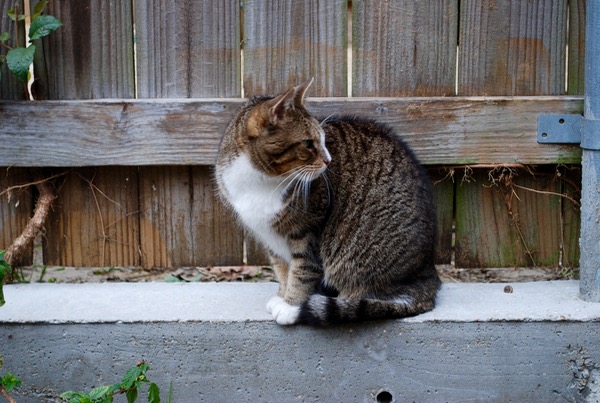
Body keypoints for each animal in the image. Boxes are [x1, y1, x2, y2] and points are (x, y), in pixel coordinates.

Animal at [216, 79, 440, 328]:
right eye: (308, 143)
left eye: (323, 141)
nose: (329, 160)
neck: (262, 180)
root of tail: (428, 273)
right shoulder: (270, 237)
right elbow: (282, 268)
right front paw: (283, 296)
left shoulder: (308, 229)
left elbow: (303, 270)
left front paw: (291, 306)